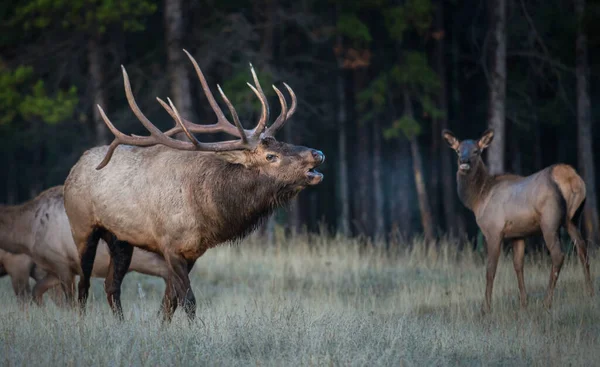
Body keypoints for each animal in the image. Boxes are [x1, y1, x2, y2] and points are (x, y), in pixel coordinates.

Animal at [63, 50, 326, 324]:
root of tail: (76, 166)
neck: (207, 209)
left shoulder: (192, 252)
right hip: (81, 228)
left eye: (282, 141)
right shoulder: (170, 245)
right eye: (270, 156)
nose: (317, 153)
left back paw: (121, 324)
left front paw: (162, 328)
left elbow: (169, 302)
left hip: (120, 239)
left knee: (111, 285)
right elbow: (188, 301)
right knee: (83, 285)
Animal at [442, 129, 592, 314]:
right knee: (583, 249)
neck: (478, 199)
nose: (464, 162)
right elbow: (518, 266)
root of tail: (572, 179)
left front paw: (486, 308)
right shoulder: (518, 234)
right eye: (458, 150)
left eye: (476, 151)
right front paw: (523, 303)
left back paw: (547, 302)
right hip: (573, 218)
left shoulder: (493, 230)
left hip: (549, 221)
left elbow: (490, 269)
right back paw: (590, 293)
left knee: (558, 255)